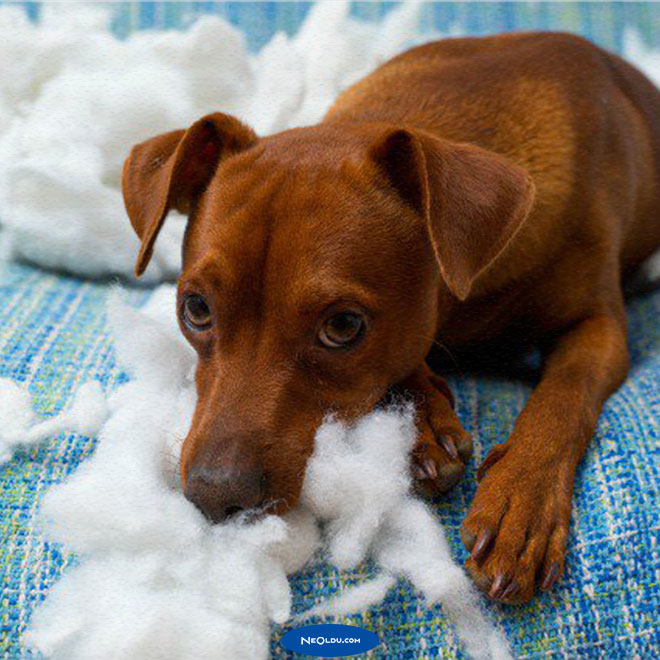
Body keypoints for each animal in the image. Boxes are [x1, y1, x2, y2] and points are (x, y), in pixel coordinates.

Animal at [121, 33, 660, 604]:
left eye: (343, 327)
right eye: (196, 309)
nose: (214, 495)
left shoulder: (600, 328)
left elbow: (563, 396)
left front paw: (522, 499)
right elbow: (407, 359)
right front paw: (423, 423)